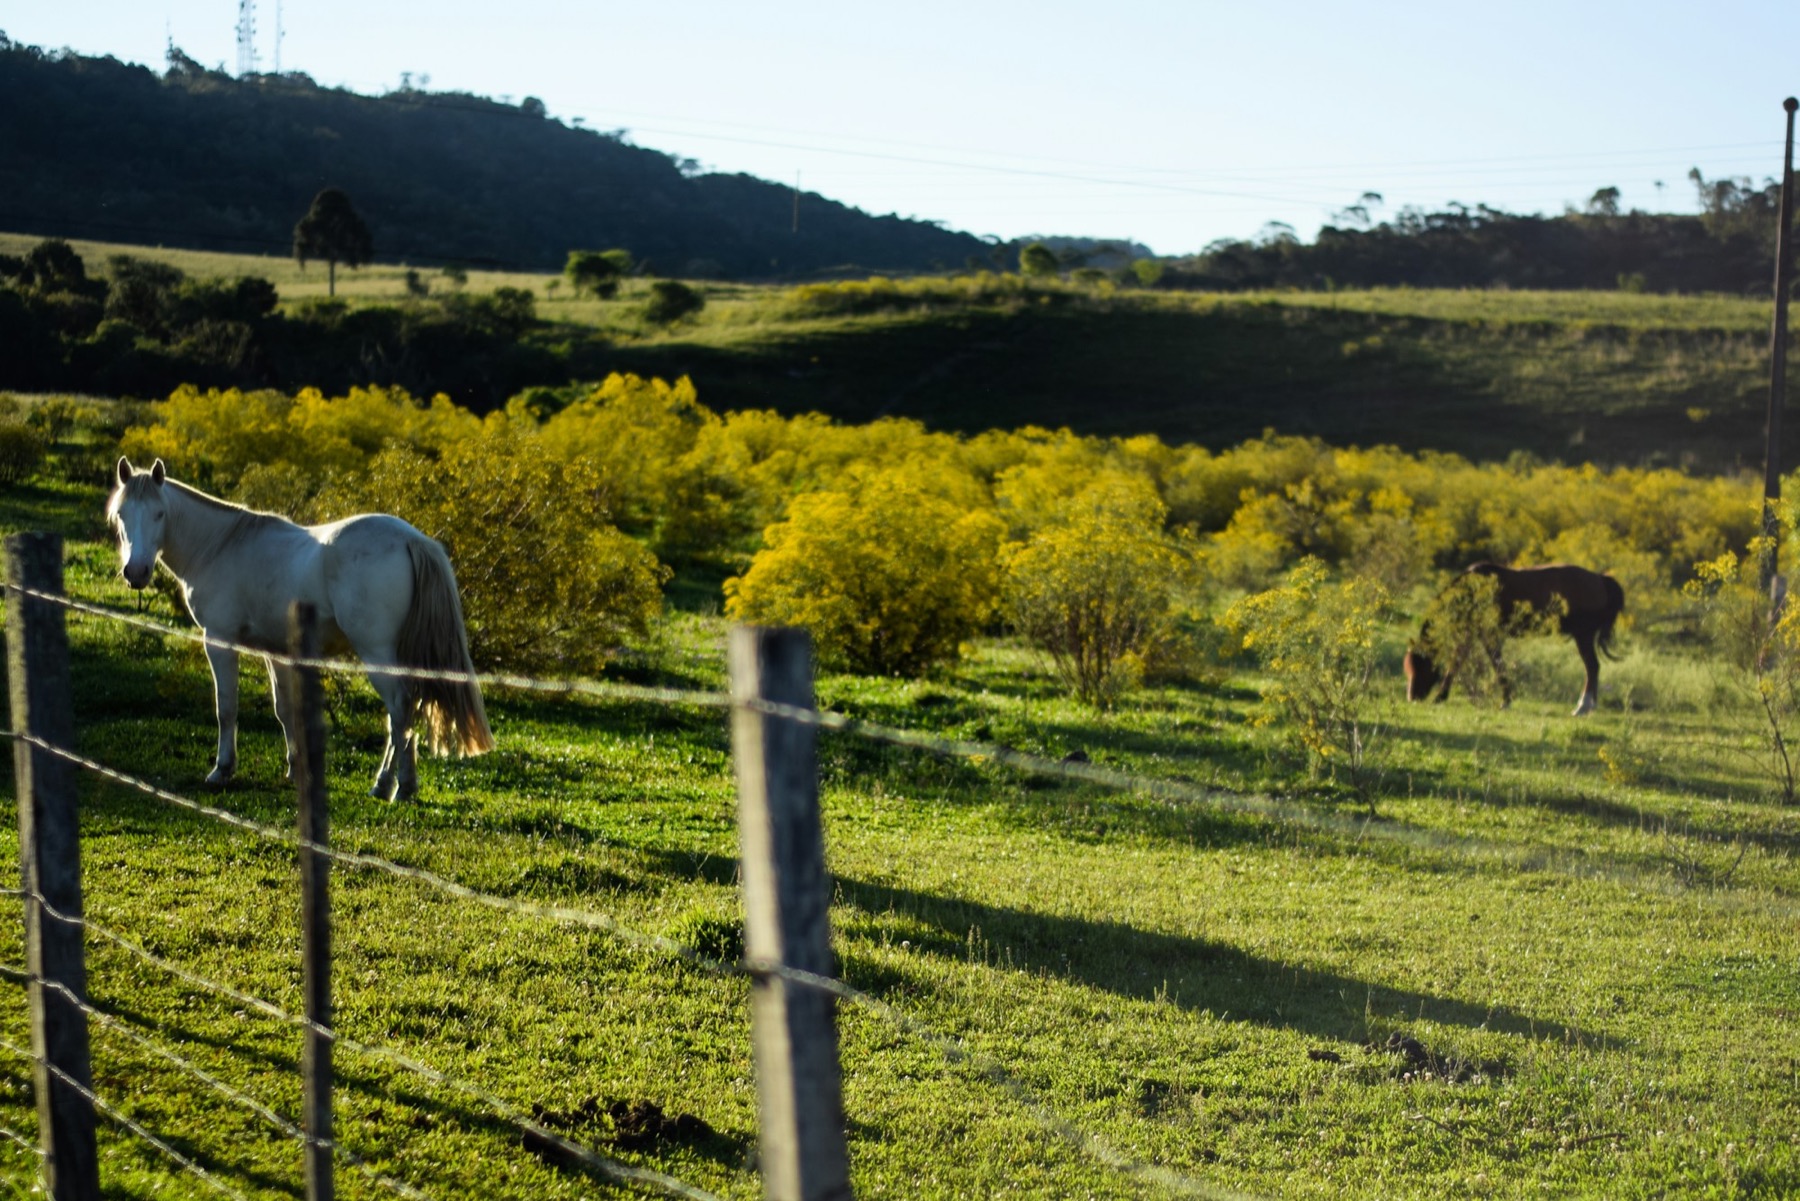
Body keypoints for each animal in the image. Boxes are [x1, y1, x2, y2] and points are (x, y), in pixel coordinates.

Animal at [107, 457, 494, 799]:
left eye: (159, 514)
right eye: (122, 514)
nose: (136, 572)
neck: (220, 546)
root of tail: (412, 539)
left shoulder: (219, 641)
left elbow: (226, 707)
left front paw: (222, 769)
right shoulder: (275, 651)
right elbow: (284, 710)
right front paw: (296, 769)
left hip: (377, 653)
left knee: (399, 710)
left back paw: (395, 787)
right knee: (404, 713)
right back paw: (392, 784)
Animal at [1403, 562, 1624, 716]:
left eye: (1421, 665)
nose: (1412, 697)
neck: (1475, 587)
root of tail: (1601, 579)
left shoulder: (1487, 633)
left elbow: (1489, 663)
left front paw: (1505, 701)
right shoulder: (1475, 632)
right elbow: (1465, 661)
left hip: (1583, 636)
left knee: (1592, 667)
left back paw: (1582, 707)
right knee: (1593, 668)